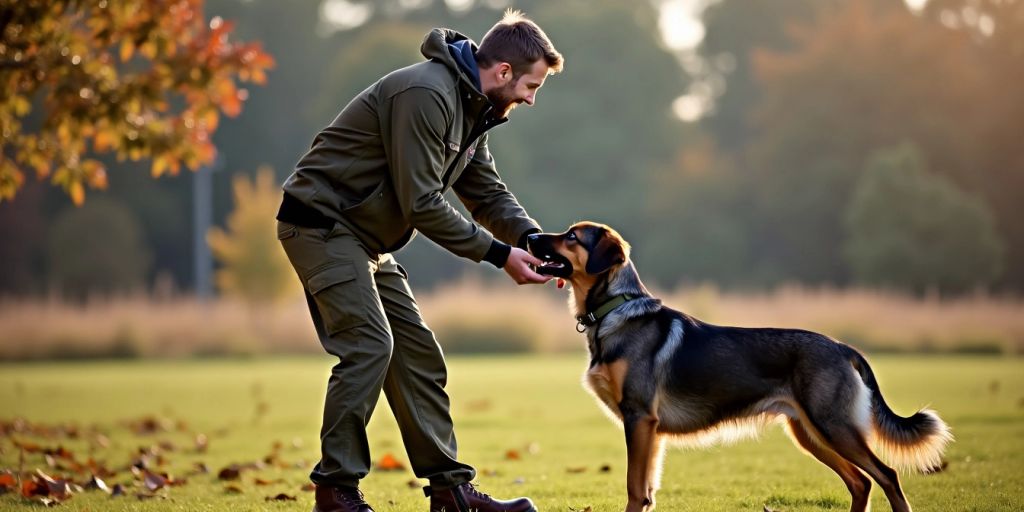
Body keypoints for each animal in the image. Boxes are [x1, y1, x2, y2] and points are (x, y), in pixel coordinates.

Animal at [528, 223, 950, 512]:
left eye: (571, 236)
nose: (531, 237)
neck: (614, 310)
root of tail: (843, 348)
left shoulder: (639, 418)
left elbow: (634, 488)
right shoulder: (651, 430)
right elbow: (646, 491)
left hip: (834, 427)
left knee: (886, 476)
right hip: (809, 433)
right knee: (861, 483)